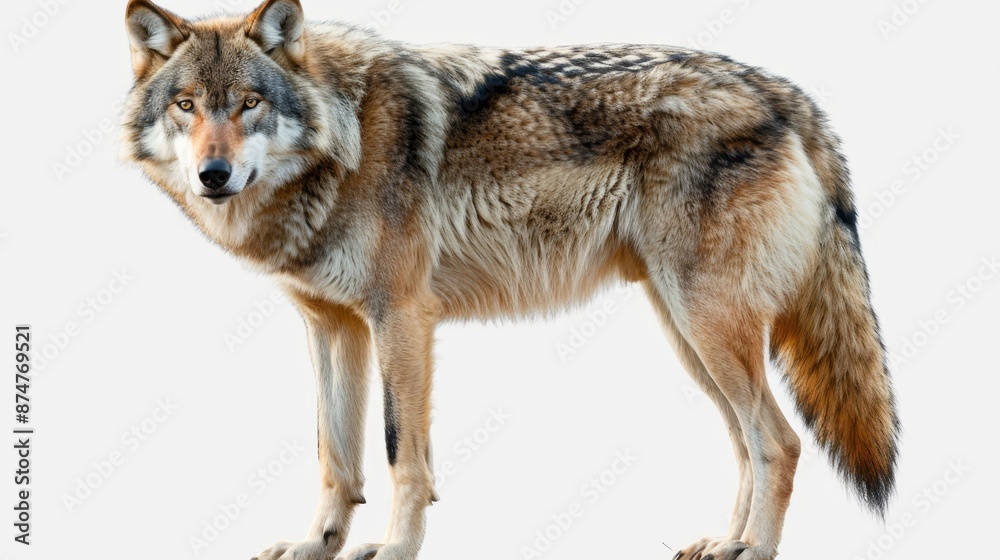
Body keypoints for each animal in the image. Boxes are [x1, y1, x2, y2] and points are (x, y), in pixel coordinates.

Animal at [120, 1, 900, 558]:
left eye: (248, 103)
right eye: (187, 105)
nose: (213, 174)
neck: (345, 136)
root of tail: (785, 91)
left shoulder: (402, 317)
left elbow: (401, 454)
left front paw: (393, 550)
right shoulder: (332, 326)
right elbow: (334, 456)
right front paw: (317, 545)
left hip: (707, 326)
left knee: (781, 442)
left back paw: (753, 549)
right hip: (688, 334)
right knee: (746, 444)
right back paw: (724, 543)